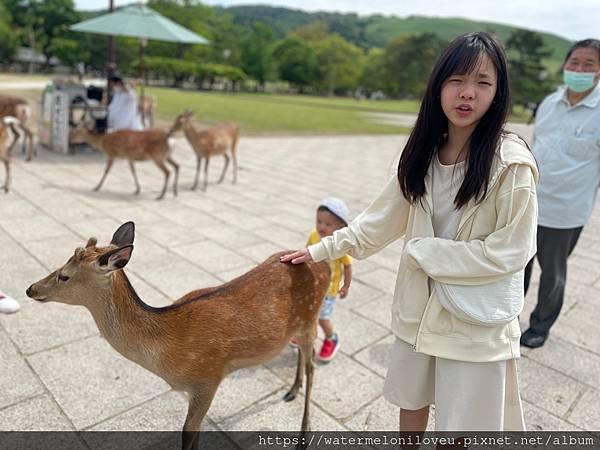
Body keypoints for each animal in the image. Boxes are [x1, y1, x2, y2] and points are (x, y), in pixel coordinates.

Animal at [27, 221, 328, 450]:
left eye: (64, 275)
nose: (31, 289)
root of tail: (323, 266)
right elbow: (195, 432)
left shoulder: (208, 377)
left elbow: (187, 431)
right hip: (299, 326)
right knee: (301, 355)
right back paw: (292, 389)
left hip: (311, 317)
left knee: (313, 364)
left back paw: (304, 433)